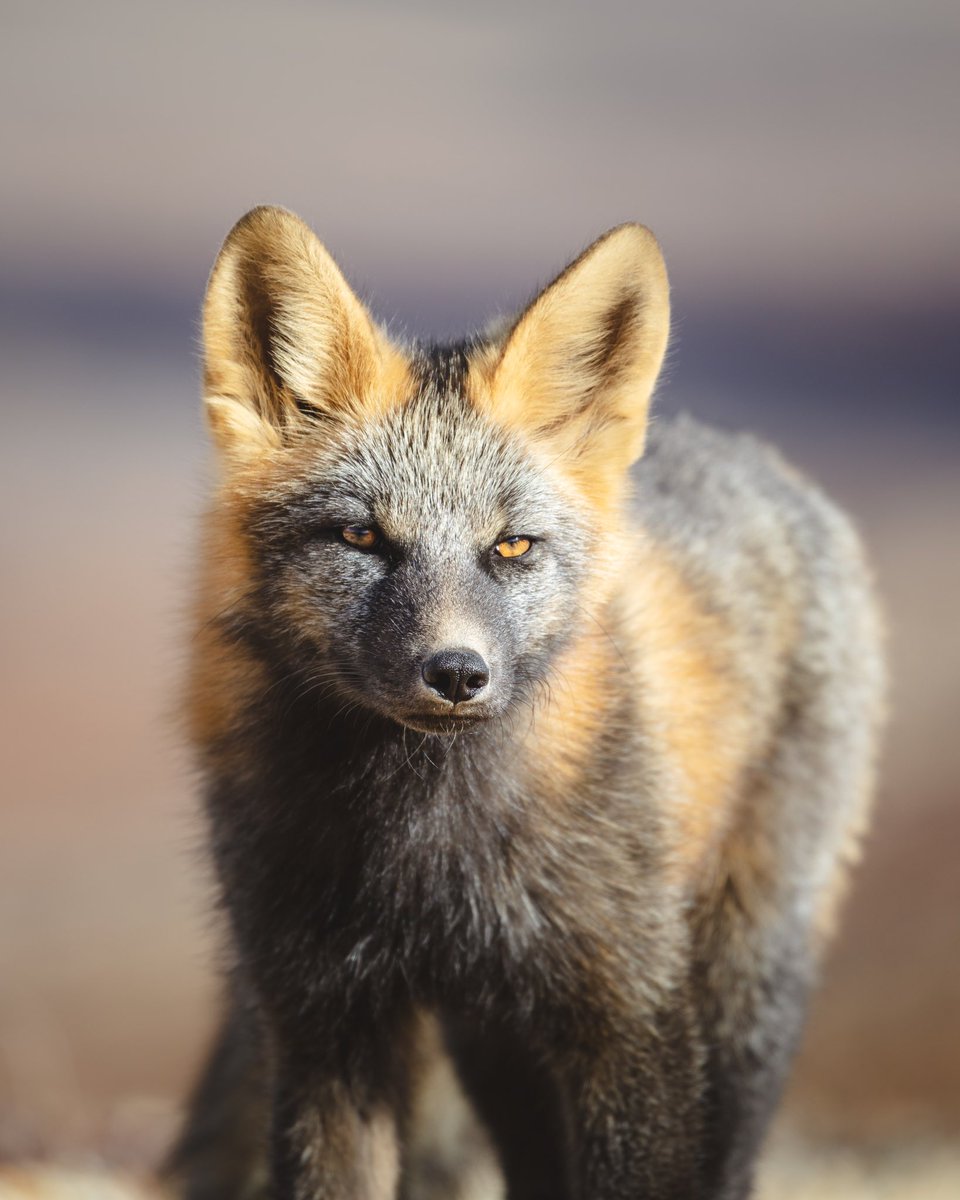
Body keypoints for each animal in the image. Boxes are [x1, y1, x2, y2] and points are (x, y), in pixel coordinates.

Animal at [163, 206, 885, 1200]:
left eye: (510, 546)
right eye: (361, 537)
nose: (456, 672)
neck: (422, 852)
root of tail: (756, 457)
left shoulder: (632, 1011)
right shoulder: (322, 1023)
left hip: (743, 976)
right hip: (494, 1038)